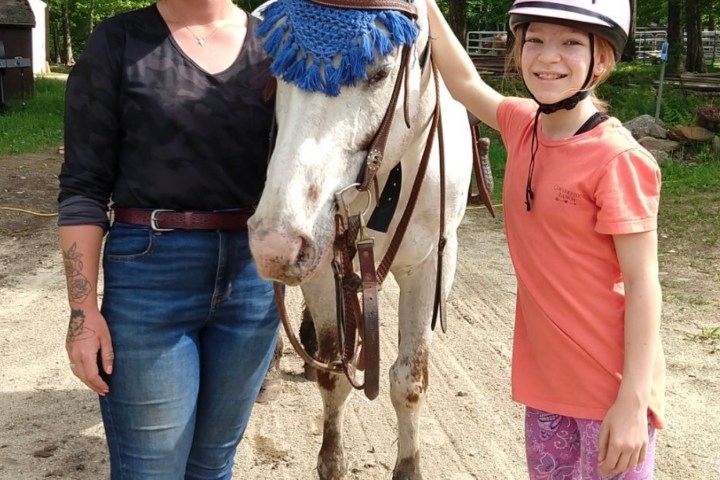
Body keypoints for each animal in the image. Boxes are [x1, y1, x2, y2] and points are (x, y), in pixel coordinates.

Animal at [248, 0, 476, 478]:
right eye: (277, 71)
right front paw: (332, 461)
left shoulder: (431, 266)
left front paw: (409, 466)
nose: (276, 246)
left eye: (379, 72)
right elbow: (334, 376)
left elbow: (409, 381)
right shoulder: (320, 266)